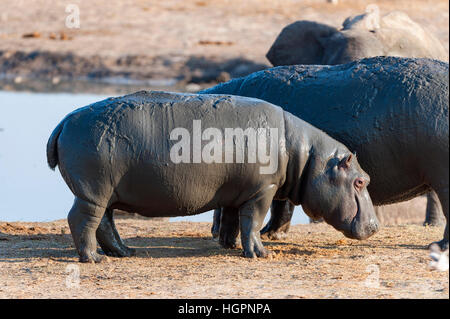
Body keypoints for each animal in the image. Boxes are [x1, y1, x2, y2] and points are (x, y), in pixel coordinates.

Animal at [47, 90, 378, 262]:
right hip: (93, 192)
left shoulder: (236, 192)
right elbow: (253, 222)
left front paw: (229, 246)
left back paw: (126, 252)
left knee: (105, 223)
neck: (306, 154)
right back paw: (93, 259)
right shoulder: (263, 190)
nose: (375, 226)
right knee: (82, 220)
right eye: (360, 181)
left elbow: (232, 220)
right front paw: (260, 254)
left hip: (106, 194)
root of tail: (64, 121)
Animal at [202, 58, 448, 252]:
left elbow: (271, 204)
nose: (213, 232)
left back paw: (438, 246)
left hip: (442, 178)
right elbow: (280, 205)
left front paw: (265, 234)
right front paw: (272, 234)